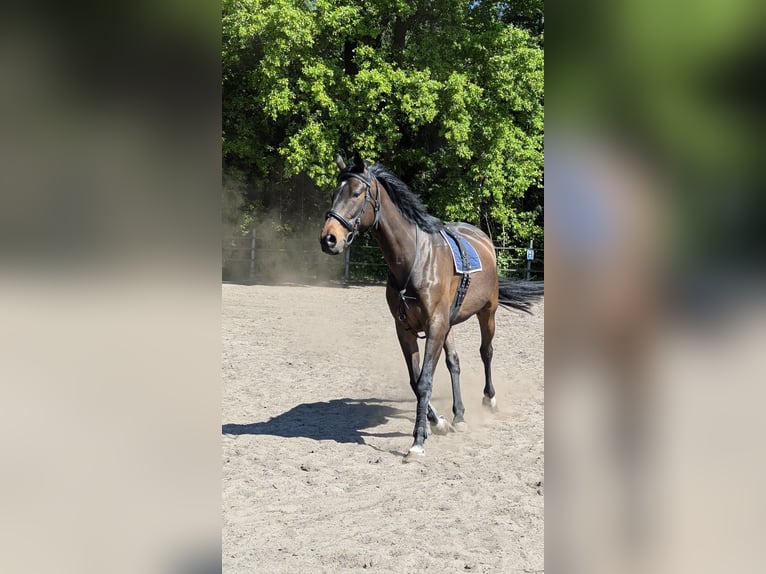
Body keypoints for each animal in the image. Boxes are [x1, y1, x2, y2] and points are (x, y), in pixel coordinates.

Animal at [319, 152, 542, 457]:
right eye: (333, 194)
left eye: (356, 193)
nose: (328, 239)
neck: (415, 259)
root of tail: (484, 240)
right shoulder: (406, 329)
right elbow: (416, 380)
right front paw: (439, 423)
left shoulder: (435, 325)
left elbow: (425, 380)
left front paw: (418, 440)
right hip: (450, 324)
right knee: (454, 362)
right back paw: (459, 415)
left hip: (487, 312)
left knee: (486, 352)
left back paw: (490, 399)